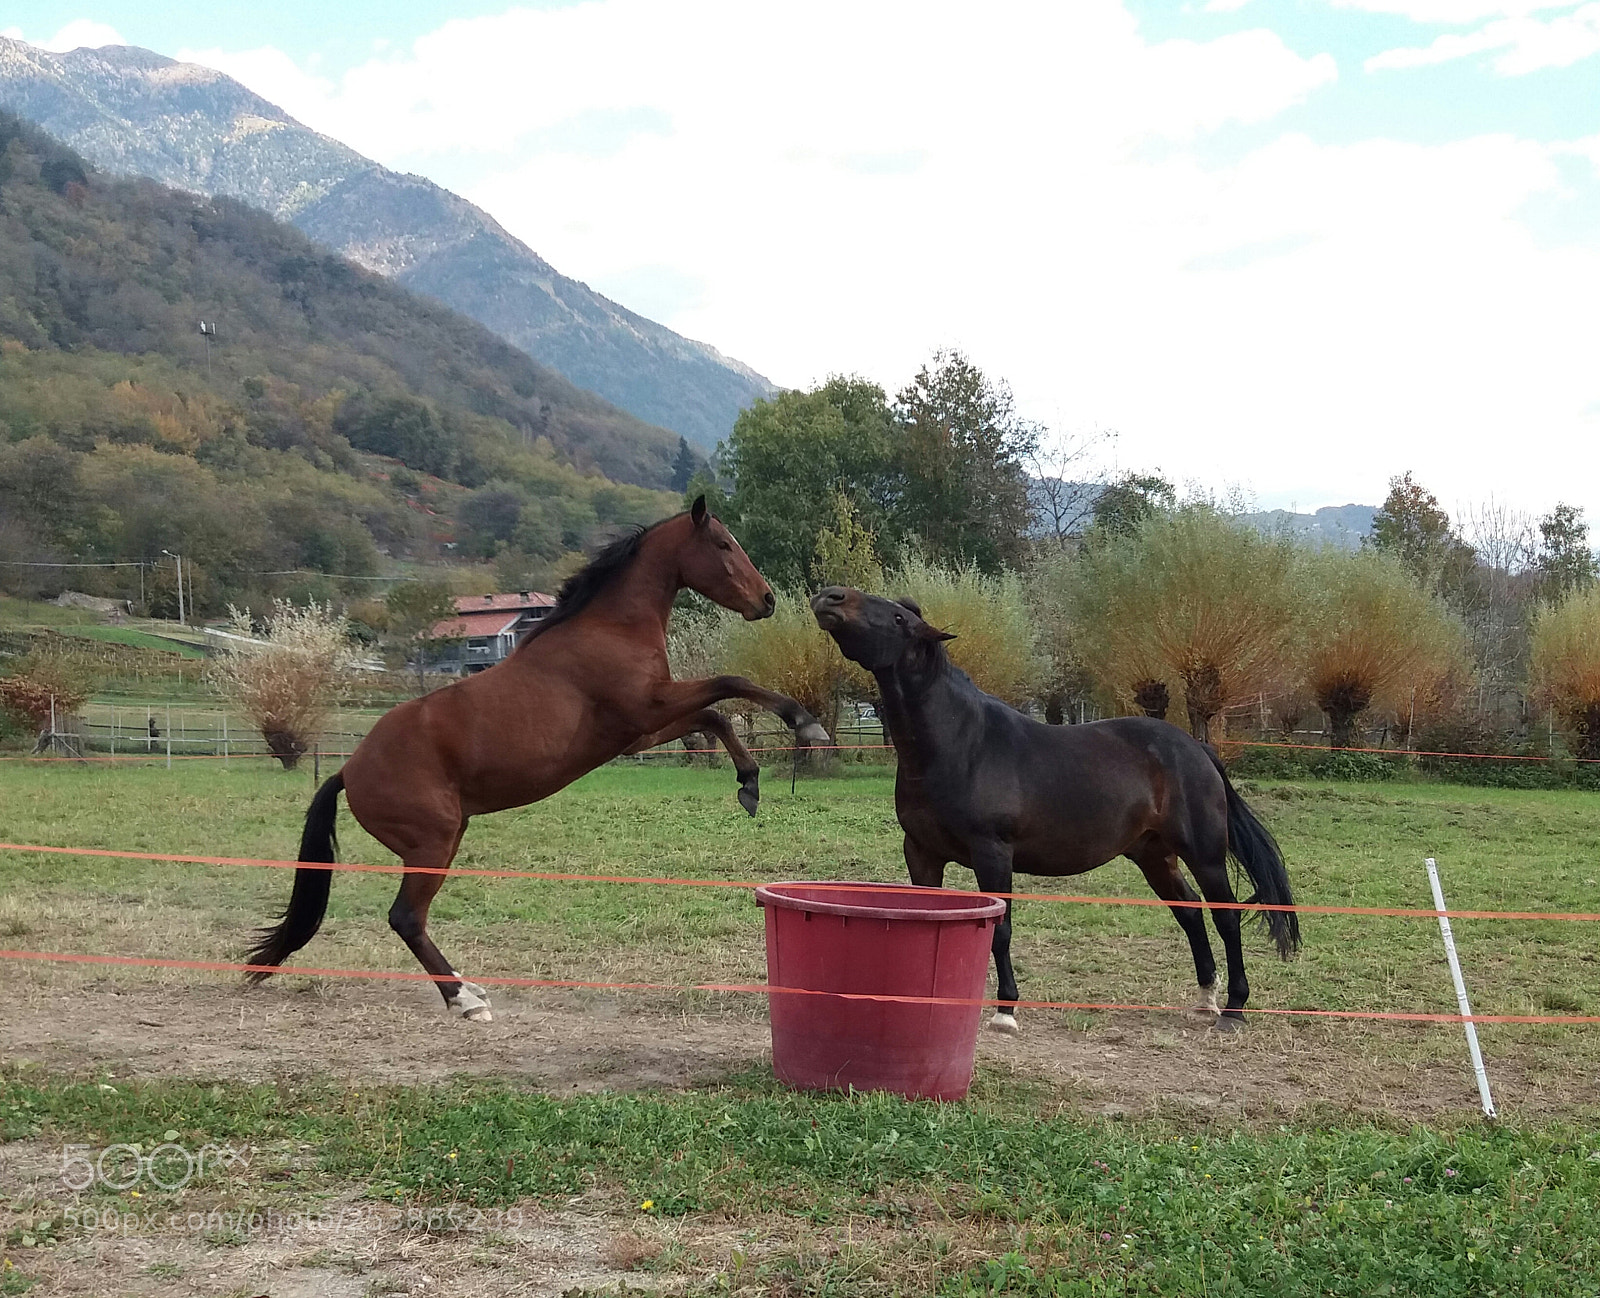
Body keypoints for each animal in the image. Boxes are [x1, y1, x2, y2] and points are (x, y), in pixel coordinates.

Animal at [245, 497, 831, 1021]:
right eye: (723, 544)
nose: (767, 599)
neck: (608, 628)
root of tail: (349, 770)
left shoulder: (639, 731)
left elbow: (716, 717)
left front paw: (750, 783)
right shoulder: (647, 707)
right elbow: (731, 683)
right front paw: (804, 722)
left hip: (447, 838)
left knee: (411, 918)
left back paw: (469, 989)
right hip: (431, 844)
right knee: (406, 917)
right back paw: (465, 1001)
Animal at [810, 585, 1299, 1032]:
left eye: (897, 619)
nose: (829, 597)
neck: (960, 743)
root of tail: (1197, 749)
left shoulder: (992, 853)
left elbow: (1001, 929)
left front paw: (1006, 1011)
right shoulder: (921, 852)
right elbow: (925, 919)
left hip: (1204, 855)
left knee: (1225, 916)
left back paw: (1233, 1009)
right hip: (1154, 856)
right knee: (1190, 913)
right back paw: (1204, 1000)